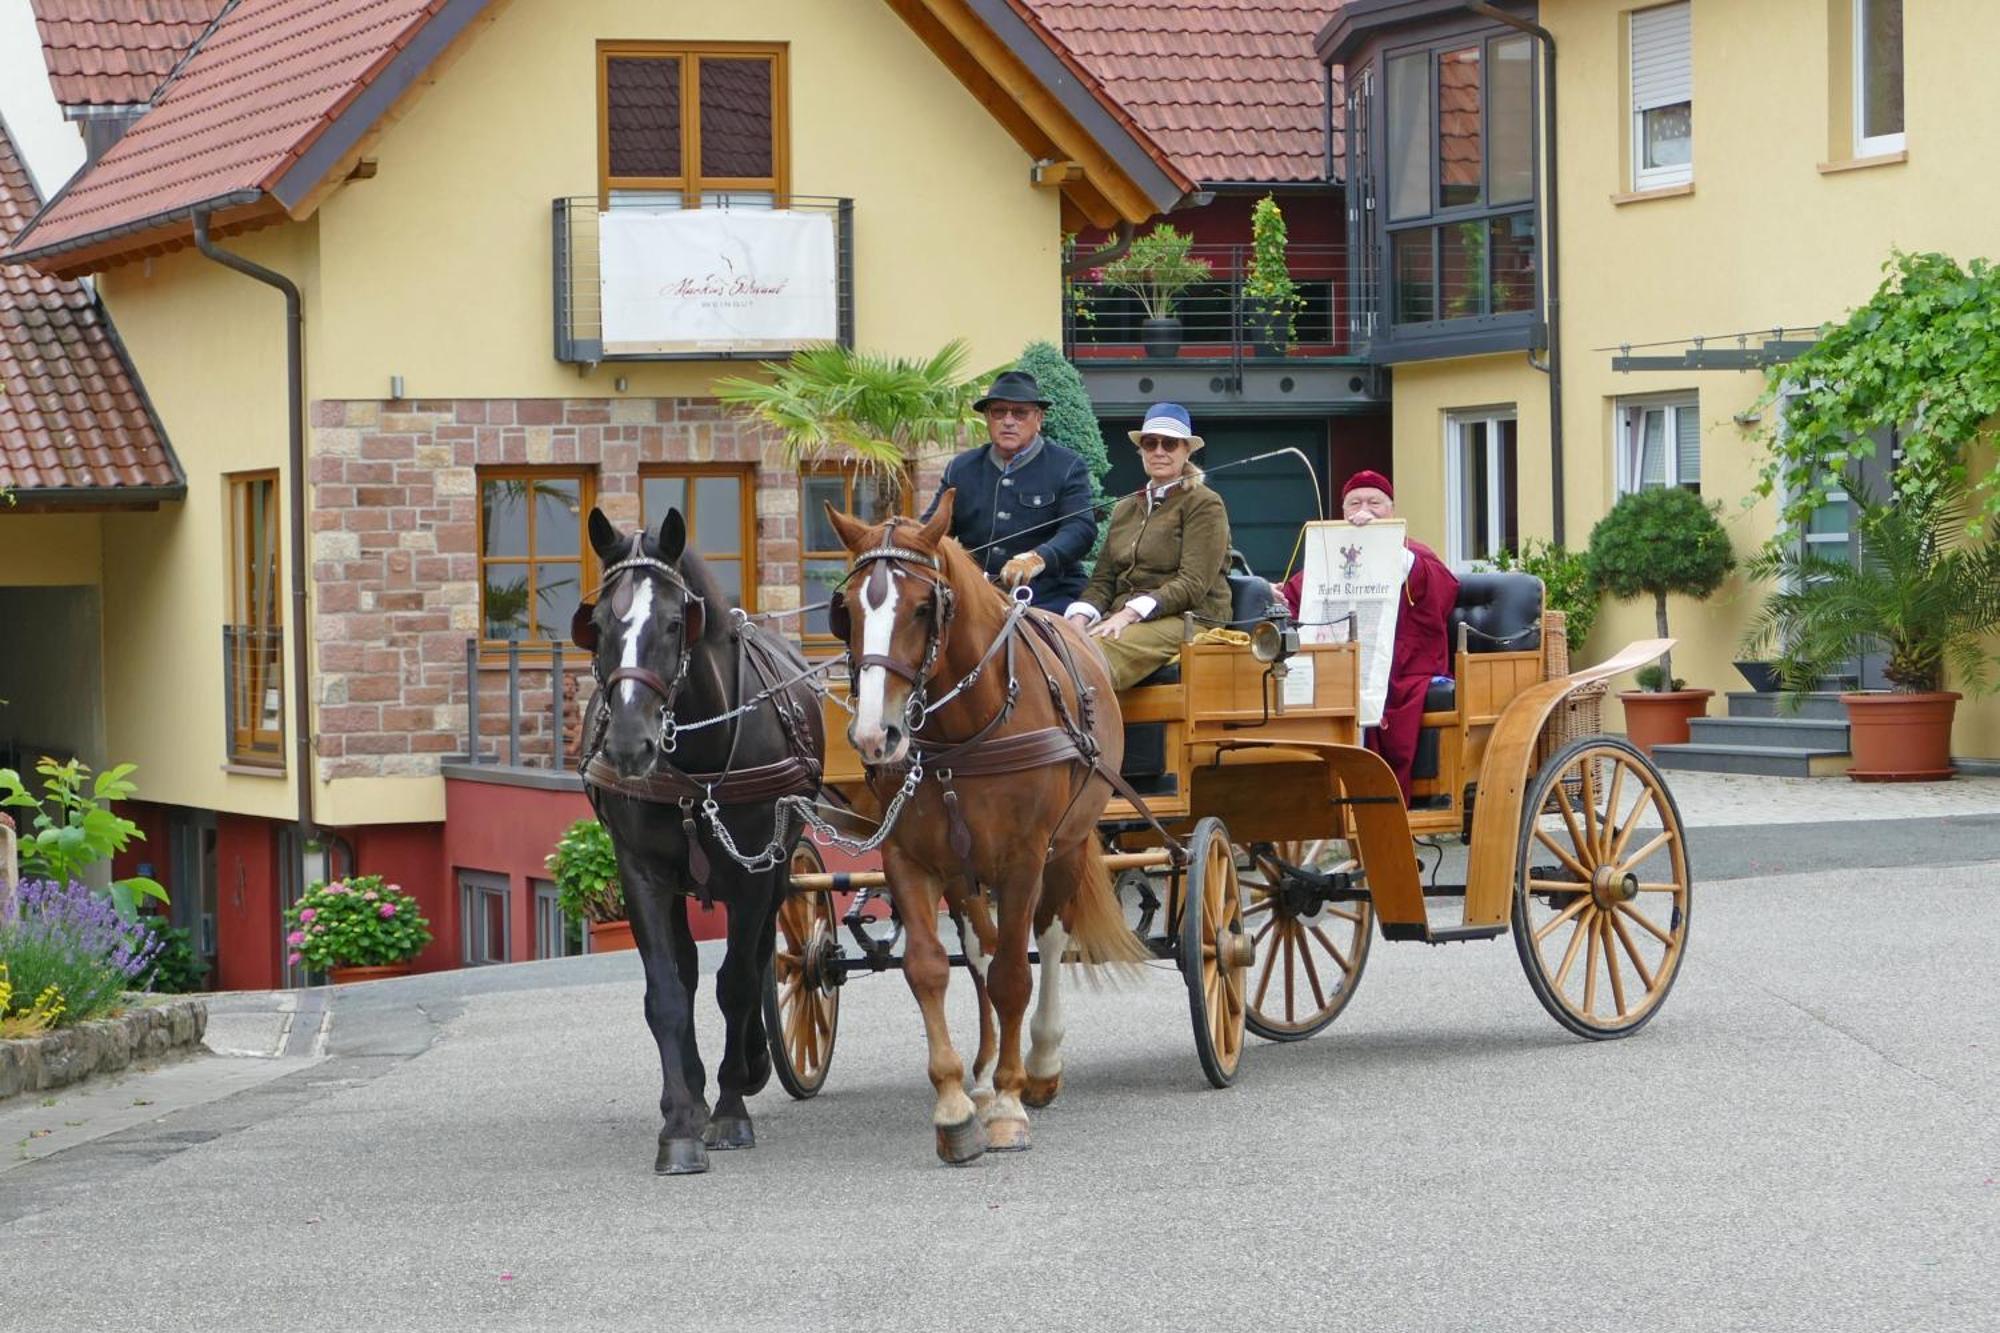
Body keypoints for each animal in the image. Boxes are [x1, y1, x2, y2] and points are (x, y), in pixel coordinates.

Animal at [576, 504, 824, 1168]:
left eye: (672, 623)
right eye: (598, 625)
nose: (628, 745)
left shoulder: (755, 872)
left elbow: (736, 984)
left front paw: (731, 1110)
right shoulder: (640, 871)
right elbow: (666, 990)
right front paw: (682, 1122)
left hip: (782, 865)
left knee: (760, 956)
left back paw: (752, 1063)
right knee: (687, 971)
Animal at [824, 492, 1144, 1160]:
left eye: (925, 607)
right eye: (847, 612)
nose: (874, 736)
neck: (964, 734)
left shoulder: (1024, 859)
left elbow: (1015, 975)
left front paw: (1009, 1105)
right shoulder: (909, 859)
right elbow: (930, 967)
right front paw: (954, 1105)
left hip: (1066, 848)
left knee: (1048, 939)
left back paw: (1039, 1065)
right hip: (965, 872)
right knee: (979, 950)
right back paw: (986, 1070)